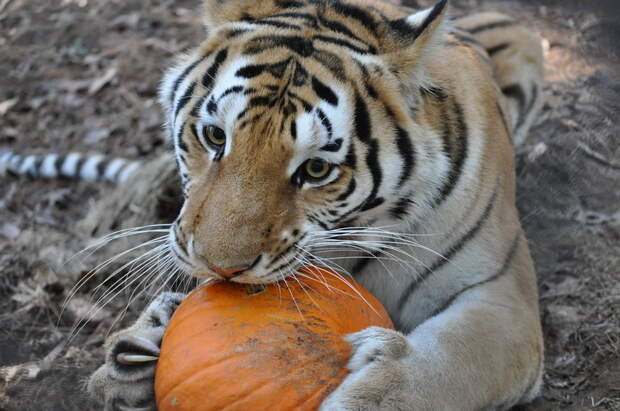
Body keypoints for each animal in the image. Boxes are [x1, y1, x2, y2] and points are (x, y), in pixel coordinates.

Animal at [77, 0, 544, 408]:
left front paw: (371, 395)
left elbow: (449, 364)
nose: (221, 267)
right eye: (214, 136)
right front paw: (133, 352)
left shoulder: (502, 298)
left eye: (316, 169)